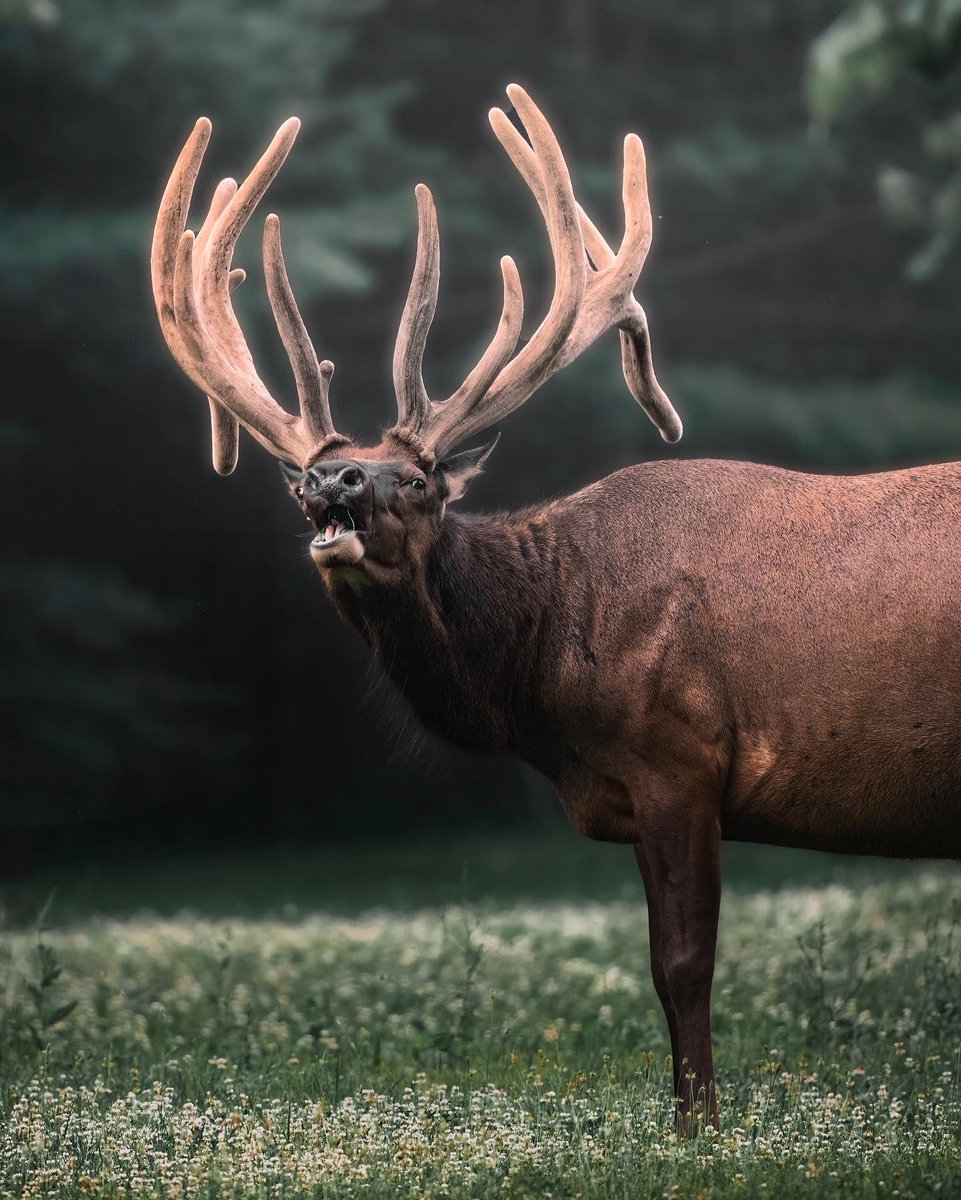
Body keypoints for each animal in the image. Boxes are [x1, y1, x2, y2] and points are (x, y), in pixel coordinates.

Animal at [151, 84, 961, 1130]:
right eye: (302, 486)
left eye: (419, 480)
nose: (334, 482)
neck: (548, 670)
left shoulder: (680, 754)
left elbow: (681, 965)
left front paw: (698, 1127)